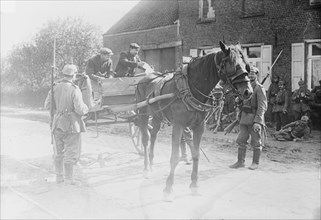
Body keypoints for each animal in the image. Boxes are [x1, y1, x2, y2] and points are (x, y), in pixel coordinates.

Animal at [135, 41, 252, 201]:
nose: (248, 91)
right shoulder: (178, 125)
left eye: (246, 65)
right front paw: (168, 188)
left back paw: (152, 164)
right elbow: (174, 156)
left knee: (153, 136)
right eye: (233, 64)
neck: (191, 89)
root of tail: (144, 78)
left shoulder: (199, 127)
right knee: (146, 139)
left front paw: (194, 186)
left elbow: (196, 154)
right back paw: (146, 169)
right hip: (143, 114)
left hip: (157, 116)